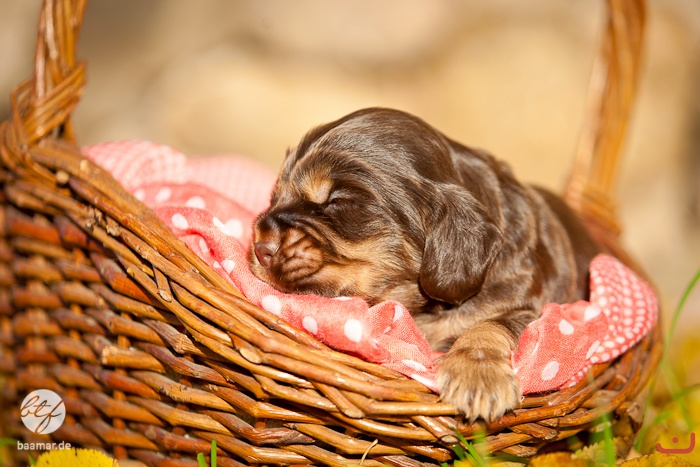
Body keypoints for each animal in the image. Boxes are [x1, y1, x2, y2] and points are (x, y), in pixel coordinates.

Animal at [248, 107, 601, 421]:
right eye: (275, 196)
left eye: (338, 201)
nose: (260, 248)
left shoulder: (531, 308)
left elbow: (487, 325)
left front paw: (477, 375)